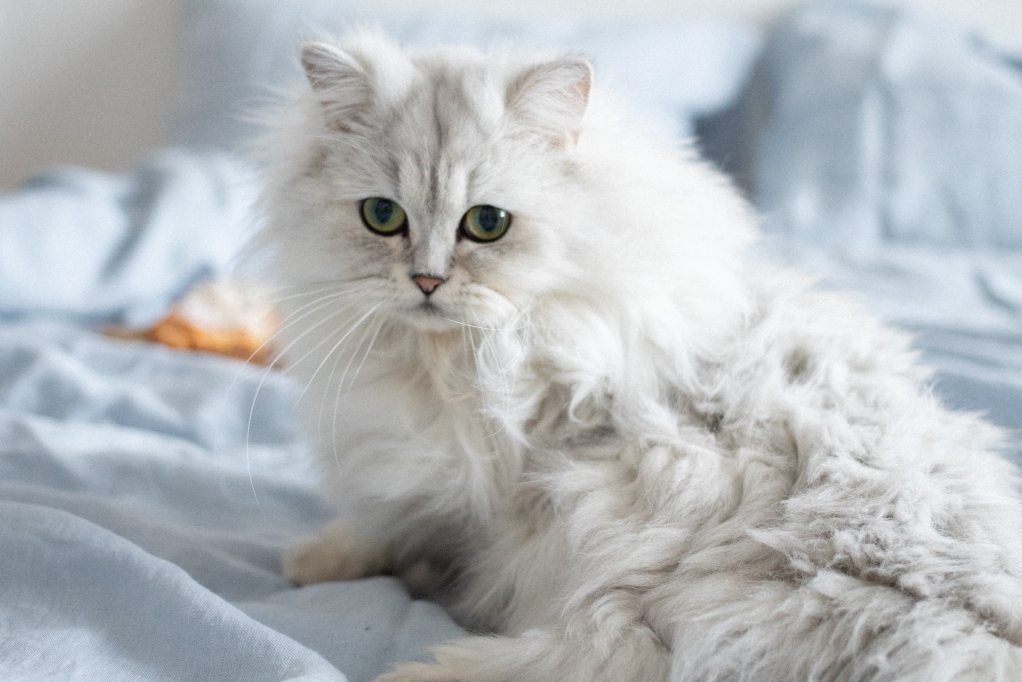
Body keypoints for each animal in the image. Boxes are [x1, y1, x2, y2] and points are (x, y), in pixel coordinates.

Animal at [257, 33, 1022, 682]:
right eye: (382, 217)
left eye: (487, 224)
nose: (426, 281)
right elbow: (383, 527)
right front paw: (319, 562)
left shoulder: (478, 482)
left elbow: (391, 526)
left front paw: (330, 562)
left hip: (618, 588)